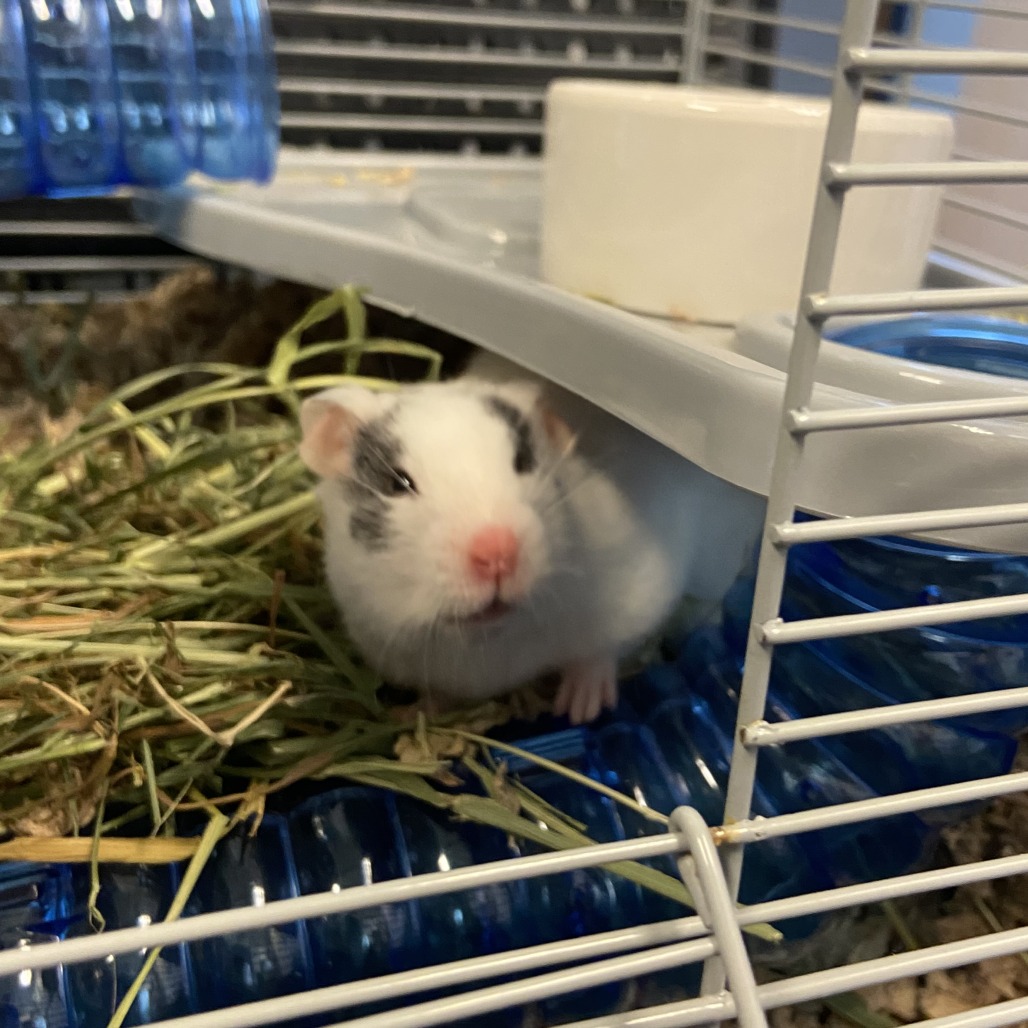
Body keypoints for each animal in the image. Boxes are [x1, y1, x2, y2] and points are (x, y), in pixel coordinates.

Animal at [298, 349, 763, 724]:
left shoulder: (639, 589)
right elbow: (438, 695)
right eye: (397, 483)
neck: (488, 637)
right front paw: (413, 716)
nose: (497, 553)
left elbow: (600, 652)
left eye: (522, 462)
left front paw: (579, 709)